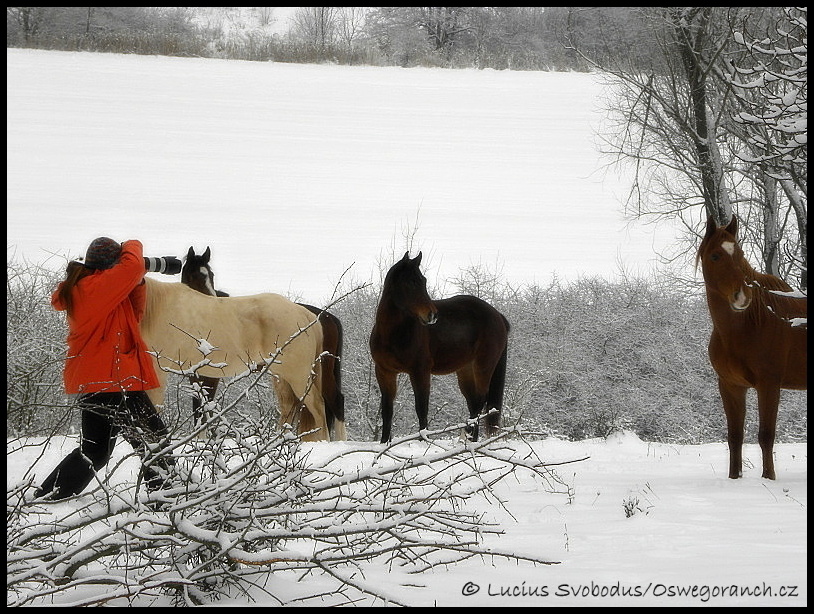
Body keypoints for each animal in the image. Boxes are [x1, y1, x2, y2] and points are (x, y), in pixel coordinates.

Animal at [182, 247, 348, 442]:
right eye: (193, 275)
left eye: (210, 275)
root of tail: (324, 317)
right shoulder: (195, 374)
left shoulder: (210, 375)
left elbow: (204, 408)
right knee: (292, 406)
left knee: (332, 401)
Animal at [372, 253, 510, 446]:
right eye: (411, 282)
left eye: (423, 281)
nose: (432, 315)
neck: (392, 334)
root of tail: (498, 316)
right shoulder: (384, 372)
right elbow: (387, 409)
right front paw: (384, 443)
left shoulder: (420, 372)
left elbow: (421, 407)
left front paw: (423, 439)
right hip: (466, 370)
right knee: (474, 401)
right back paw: (471, 441)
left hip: (484, 366)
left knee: (479, 400)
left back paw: (466, 437)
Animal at [700, 217, 808, 482]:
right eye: (715, 256)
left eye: (739, 254)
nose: (742, 296)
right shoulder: (731, 386)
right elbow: (735, 436)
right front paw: (734, 478)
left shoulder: (769, 385)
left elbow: (766, 435)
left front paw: (769, 478)